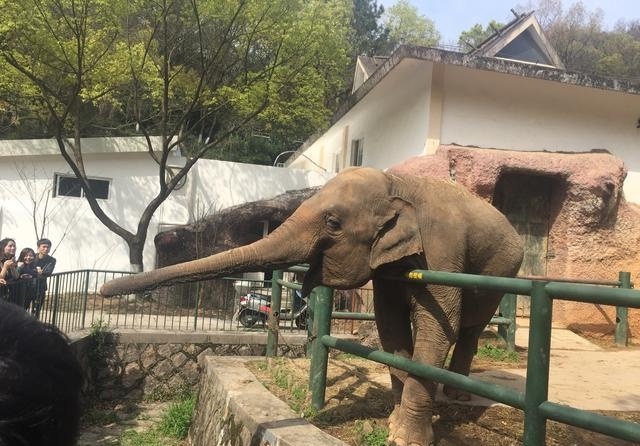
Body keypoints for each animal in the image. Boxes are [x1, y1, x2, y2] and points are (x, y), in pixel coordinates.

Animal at [100, 167, 520, 446]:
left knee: (470, 328)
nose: (105, 290)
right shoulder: (388, 267)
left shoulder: (442, 253)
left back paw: (459, 395)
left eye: (333, 223)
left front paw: (405, 438)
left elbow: (436, 329)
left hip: (504, 270)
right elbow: (392, 330)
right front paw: (394, 422)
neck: (396, 182)